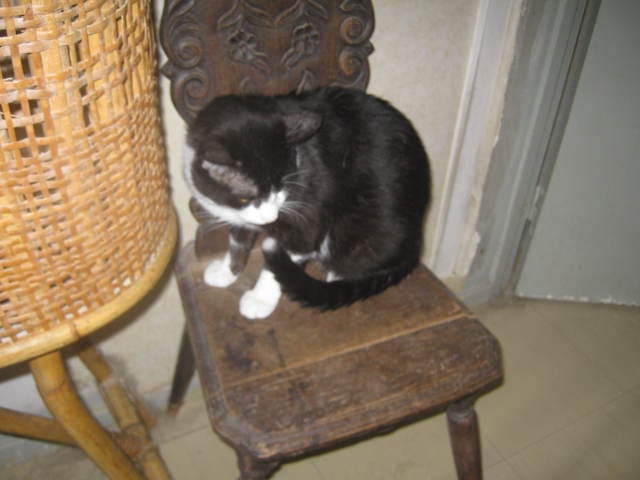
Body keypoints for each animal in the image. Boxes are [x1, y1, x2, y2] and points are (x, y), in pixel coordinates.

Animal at [184, 86, 431, 320]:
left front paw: (260, 300)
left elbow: (288, 253)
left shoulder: (310, 213)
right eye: (247, 198)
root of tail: (416, 243)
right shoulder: (242, 215)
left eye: (282, 187)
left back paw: (336, 276)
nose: (271, 217)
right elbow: (237, 241)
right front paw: (226, 272)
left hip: (365, 226)